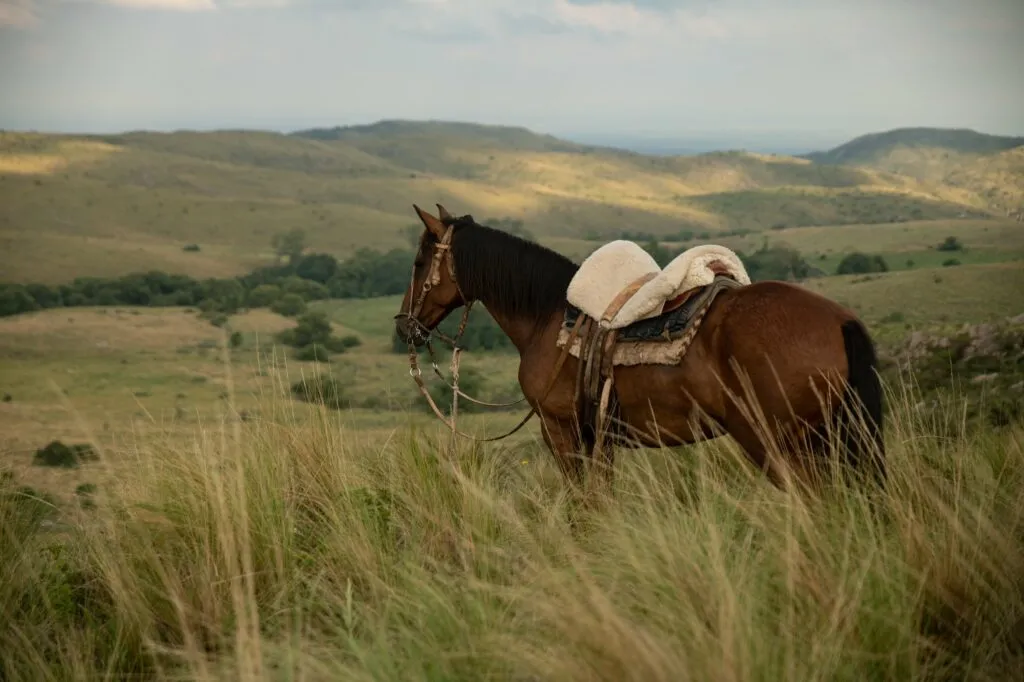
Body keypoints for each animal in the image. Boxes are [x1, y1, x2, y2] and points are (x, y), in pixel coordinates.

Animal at [394, 204, 885, 496]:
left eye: (419, 262)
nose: (404, 326)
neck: (546, 315)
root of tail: (839, 319)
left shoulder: (561, 431)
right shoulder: (599, 437)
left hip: (781, 442)